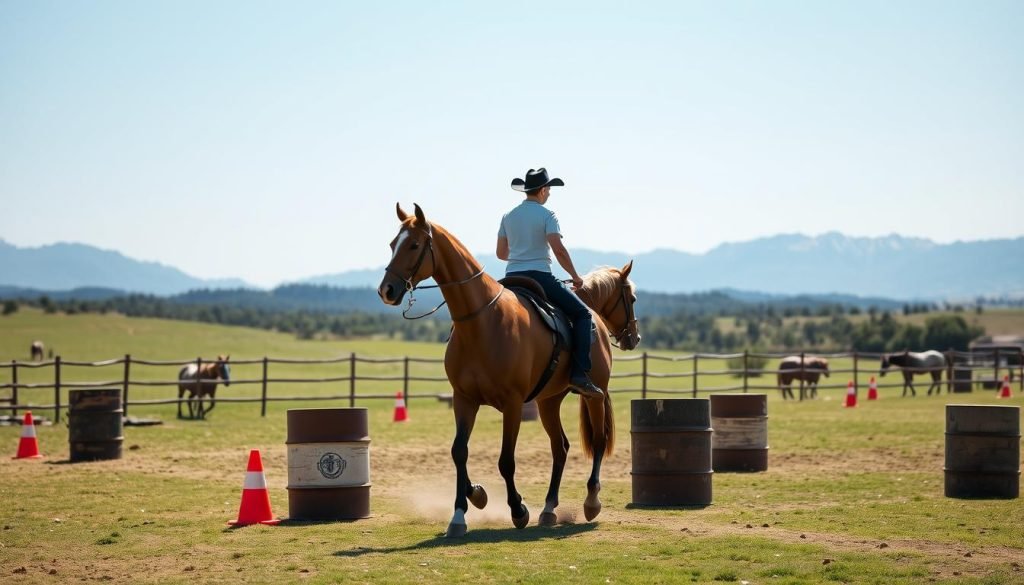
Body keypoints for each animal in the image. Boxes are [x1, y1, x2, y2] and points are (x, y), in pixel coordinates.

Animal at [378, 203, 638, 537]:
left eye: (413, 245)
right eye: (392, 244)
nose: (387, 290)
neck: (481, 322)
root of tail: (592, 317)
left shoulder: (512, 404)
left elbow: (506, 461)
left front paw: (518, 510)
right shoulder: (464, 400)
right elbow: (459, 451)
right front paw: (467, 505)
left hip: (594, 394)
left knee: (597, 441)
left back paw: (591, 501)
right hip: (548, 402)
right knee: (560, 447)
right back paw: (549, 508)